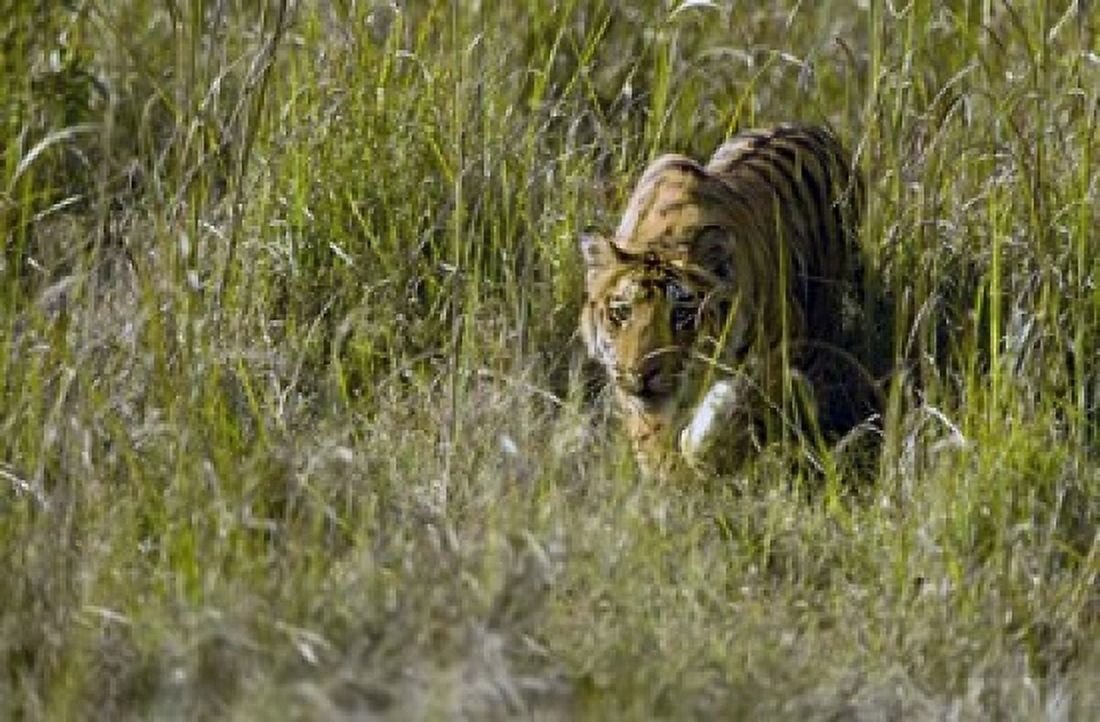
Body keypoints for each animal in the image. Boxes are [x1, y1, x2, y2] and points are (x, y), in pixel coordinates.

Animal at [579, 123, 867, 476]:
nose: (642, 374)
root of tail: (812, 127)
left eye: (682, 316)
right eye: (622, 312)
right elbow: (652, 431)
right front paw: (666, 468)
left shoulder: (781, 346)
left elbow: (736, 405)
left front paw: (700, 450)